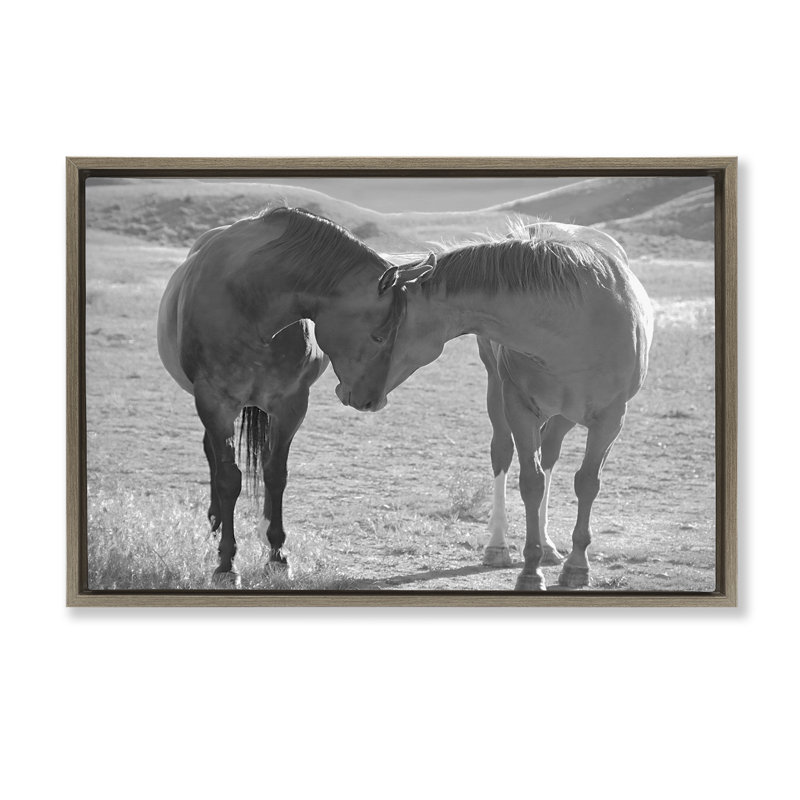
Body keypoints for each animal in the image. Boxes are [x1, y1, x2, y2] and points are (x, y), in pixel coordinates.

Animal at [157, 206, 436, 588]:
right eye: (379, 335)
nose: (372, 401)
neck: (250, 300)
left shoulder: (290, 404)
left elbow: (276, 473)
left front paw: (277, 554)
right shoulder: (214, 402)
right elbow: (229, 478)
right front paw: (226, 564)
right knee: (213, 456)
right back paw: (216, 520)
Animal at [333, 222, 654, 591]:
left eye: (378, 334)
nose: (348, 392)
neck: (575, 323)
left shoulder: (611, 419)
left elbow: (586, 483)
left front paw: (576, 566)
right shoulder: (518, 407)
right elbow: (531, 482)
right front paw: (530, 571)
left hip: (564, 415)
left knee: (550, 454)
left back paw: (548, 546)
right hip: (498, 391)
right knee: (503, 452)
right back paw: (498, 545)